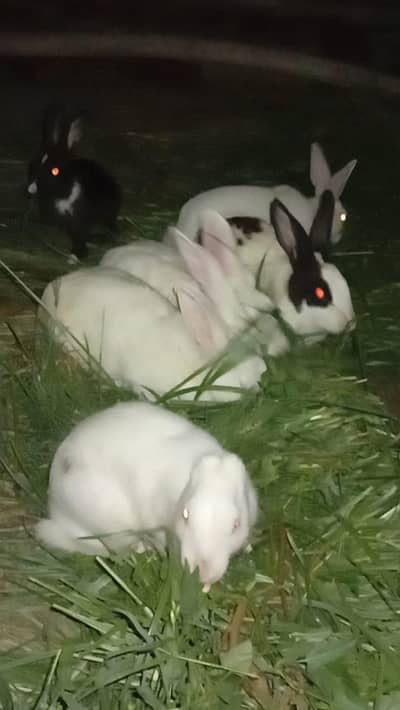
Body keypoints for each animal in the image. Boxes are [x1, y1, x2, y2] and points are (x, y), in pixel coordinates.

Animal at [27, 103, 122, 261]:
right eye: (34, 163)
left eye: (55, 171)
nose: (31, 188)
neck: (64, 192)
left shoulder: (81, 219)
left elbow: (80, 236)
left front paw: (77, 255)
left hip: (108, 210)